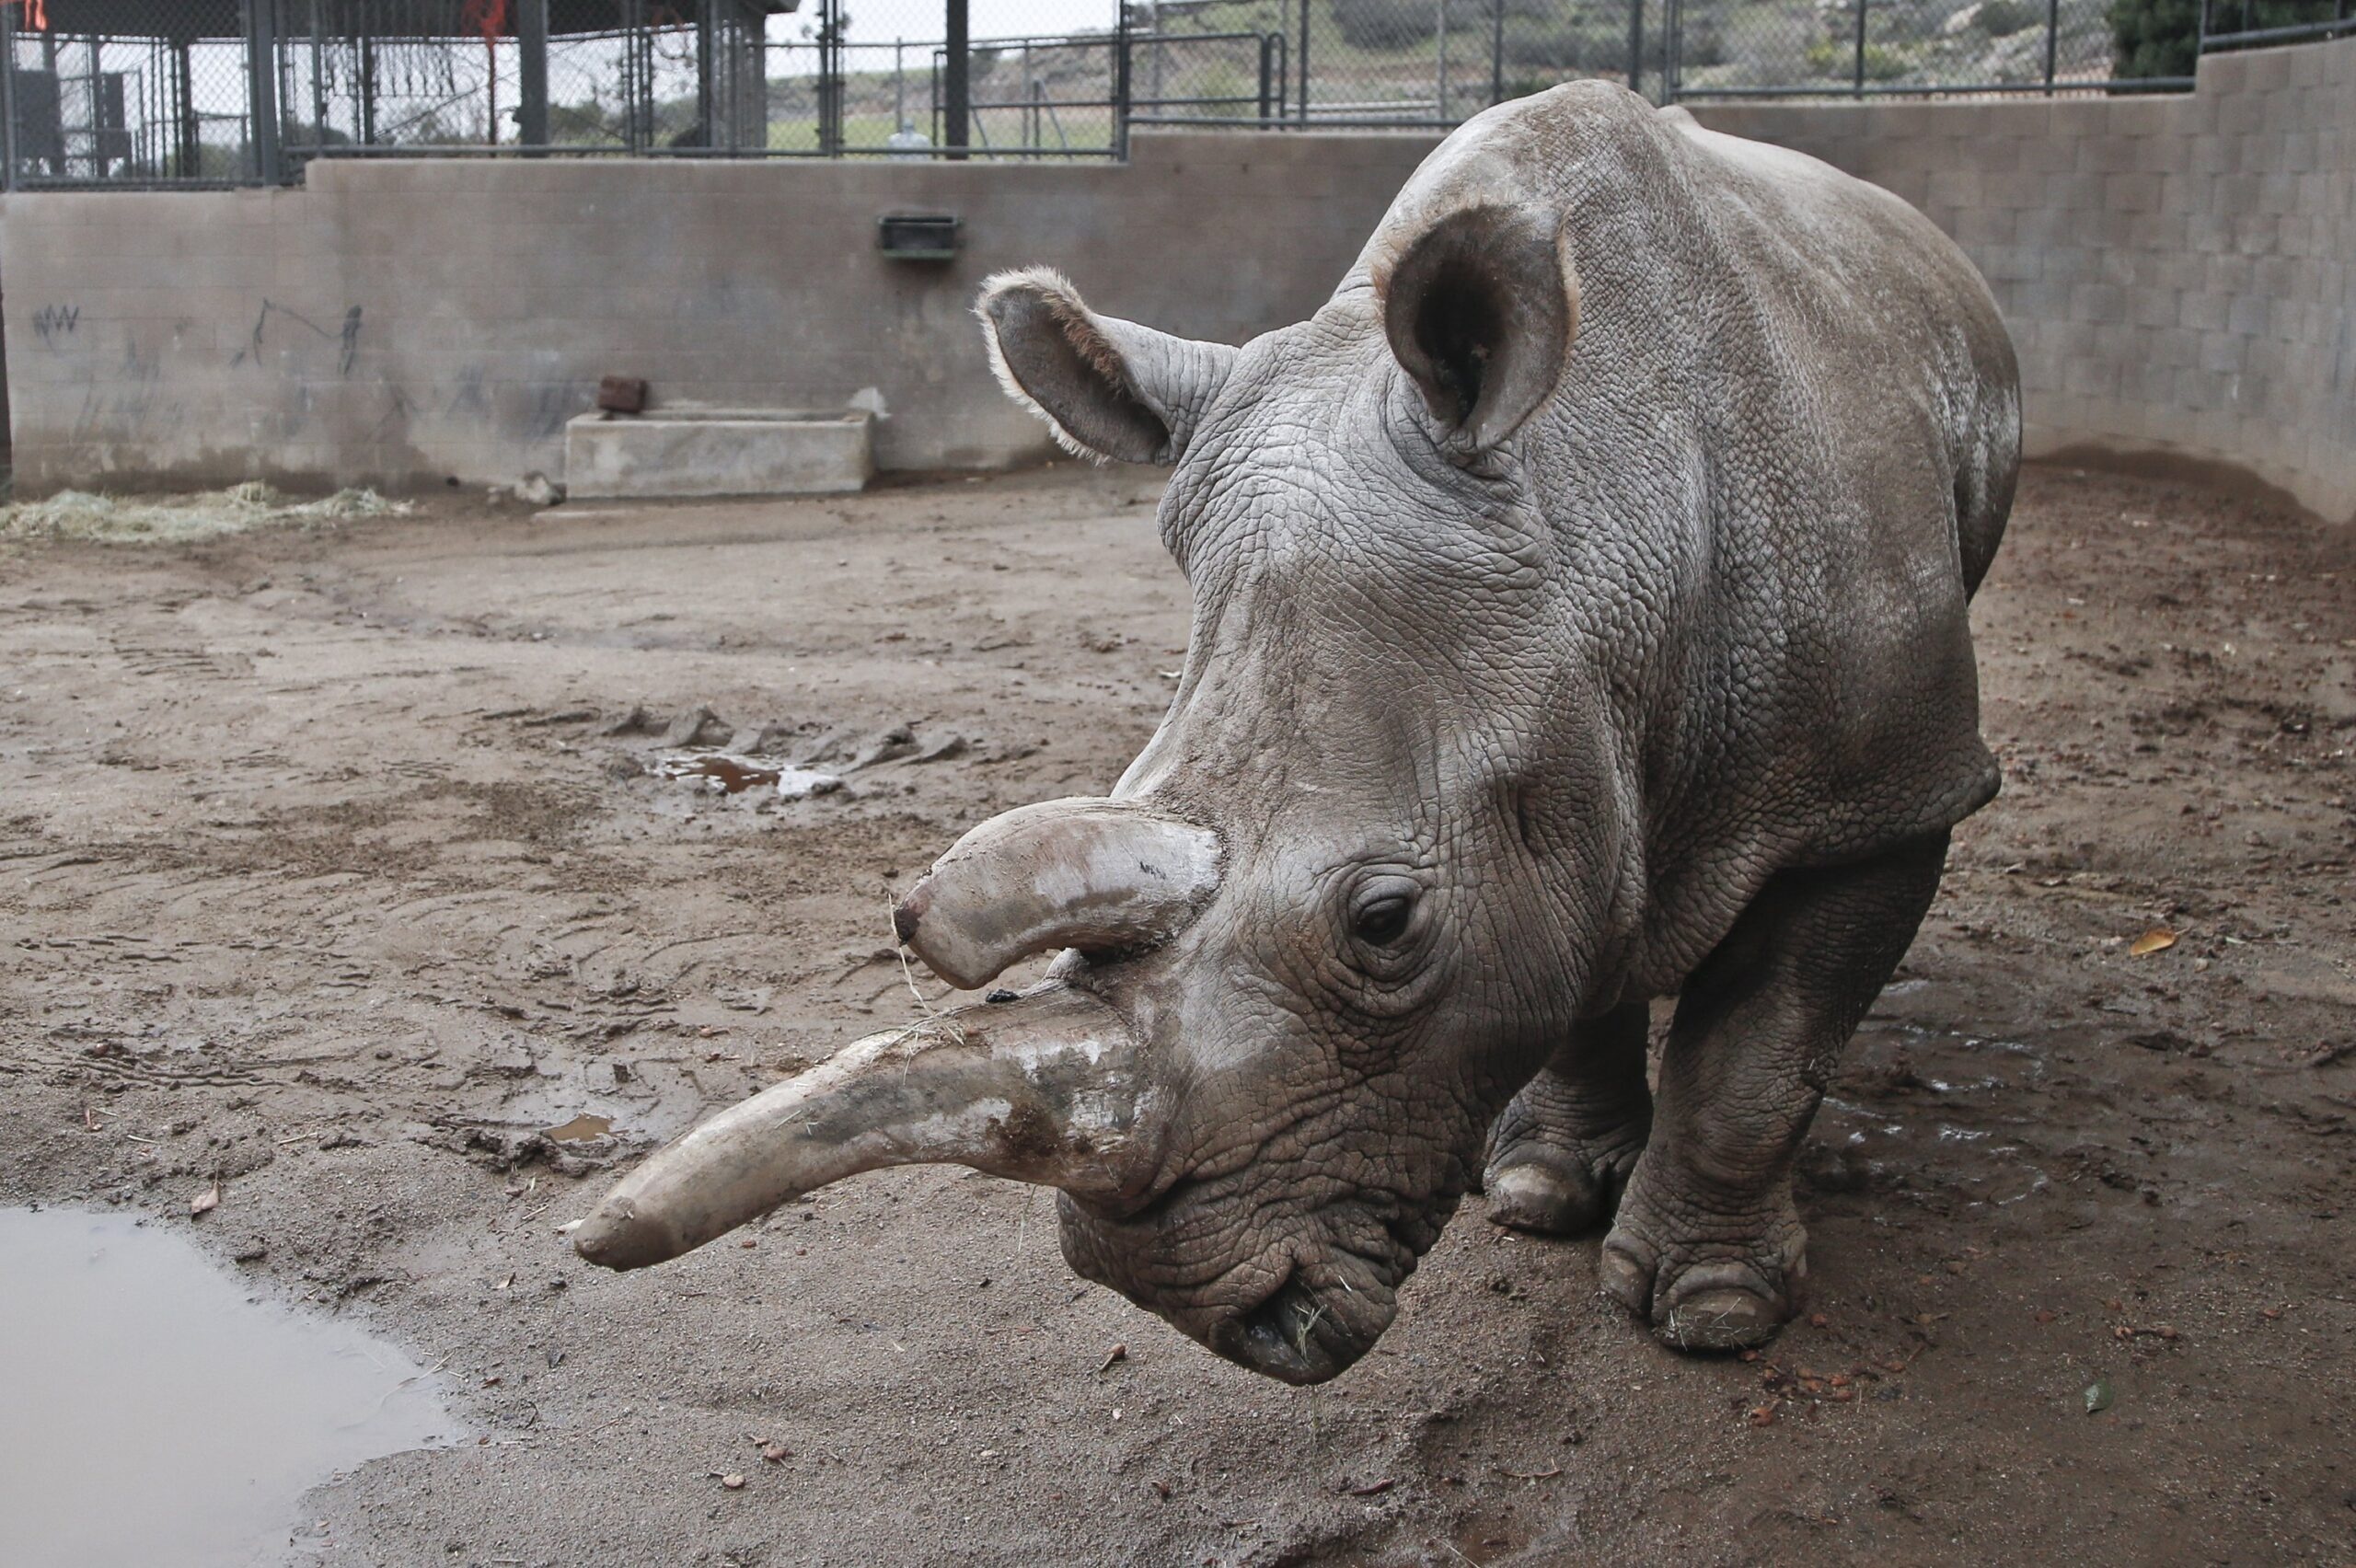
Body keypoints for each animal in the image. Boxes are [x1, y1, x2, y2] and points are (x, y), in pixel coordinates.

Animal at [576, 81, 2017, 1383]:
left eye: (1384, 925)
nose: (1190, 1309)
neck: (1599, 516)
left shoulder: (1888, 796)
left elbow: (1756, 1062)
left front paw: (1713, 1314)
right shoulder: (1569, 732)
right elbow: (1583, 935)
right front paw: (1541, 1194)